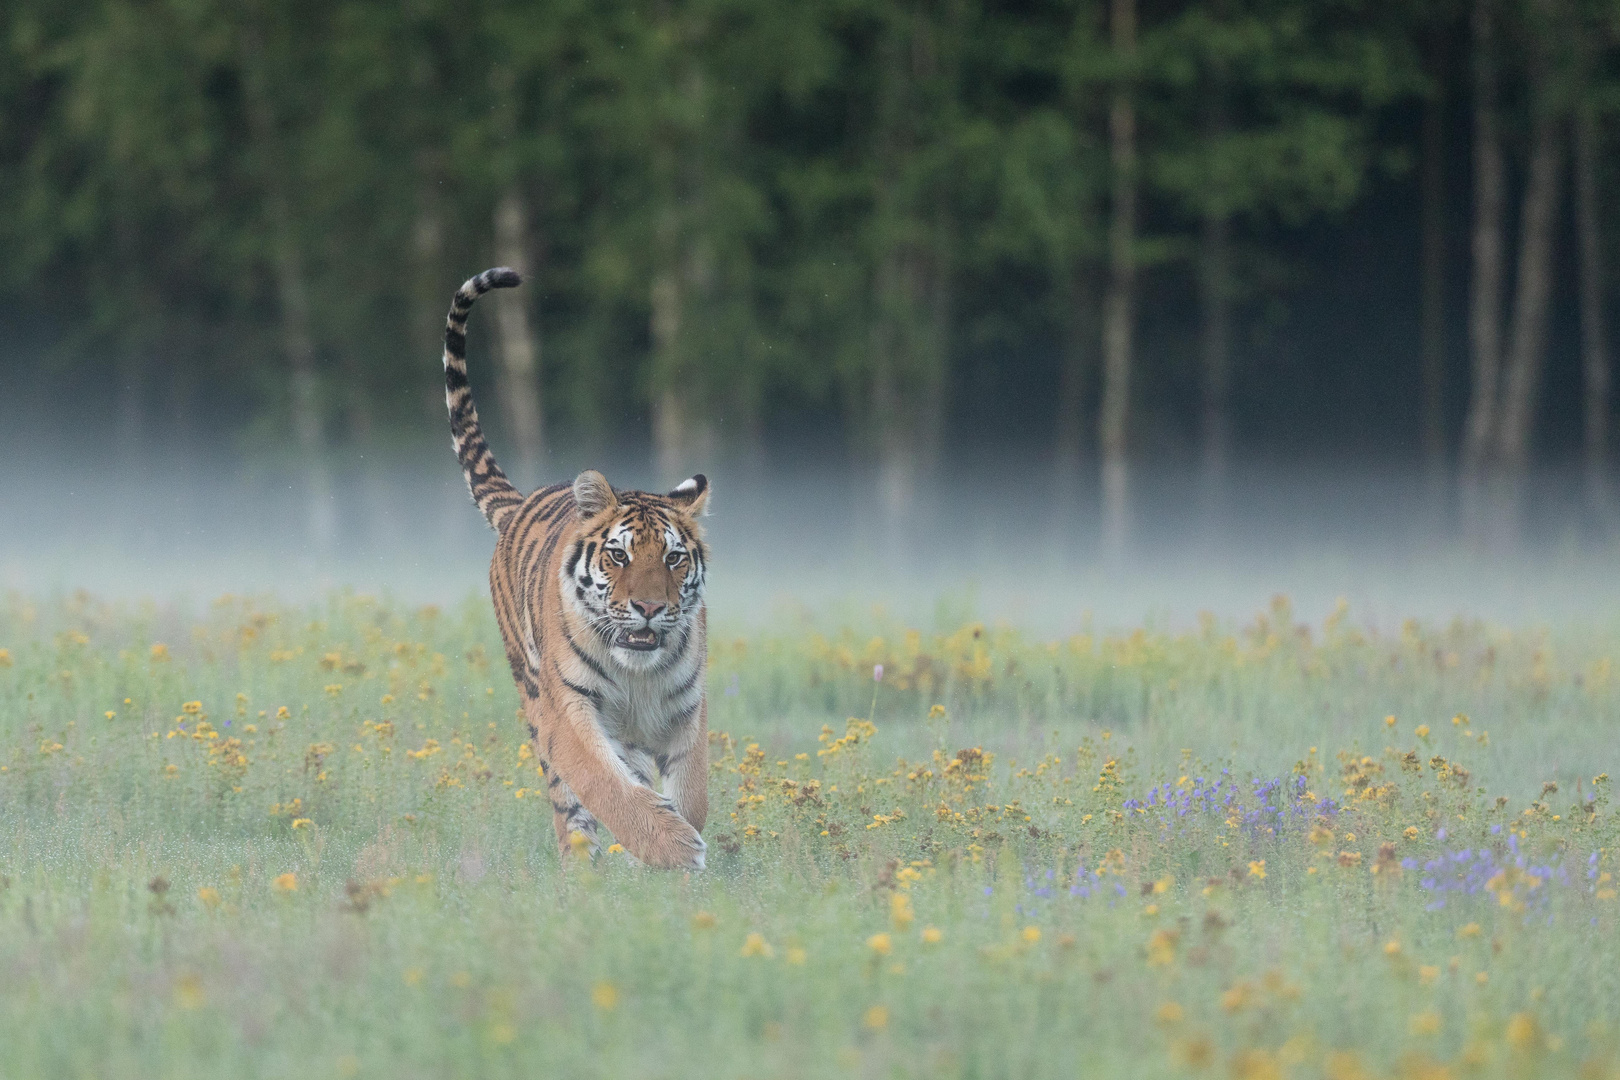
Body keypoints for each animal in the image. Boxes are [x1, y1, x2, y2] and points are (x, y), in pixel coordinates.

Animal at [440, 270, 706, 867]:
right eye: (619, 555)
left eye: (674, 558)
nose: (649, 608)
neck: (639, 675)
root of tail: (519, 505)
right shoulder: (570, 712)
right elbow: (609, 787)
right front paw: (675, 848)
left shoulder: (686, 714)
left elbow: (691, 790)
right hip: (536, 700)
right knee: (571, 808)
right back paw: (581, 870)